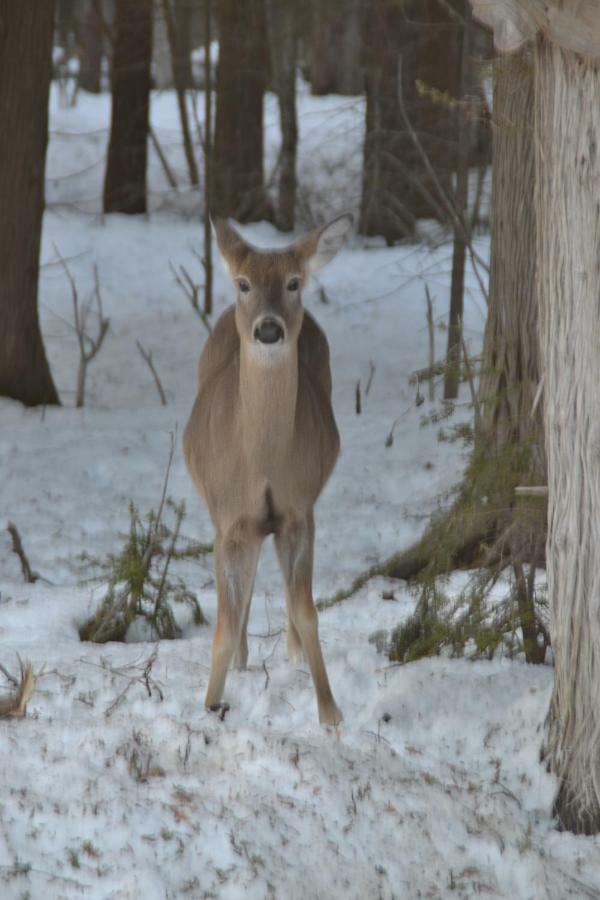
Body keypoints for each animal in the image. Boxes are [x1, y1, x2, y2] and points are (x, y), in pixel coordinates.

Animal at [183, 214, 352, 728]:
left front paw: (329, 712)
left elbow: (307, 608)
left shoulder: (298, 508)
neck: (261, 462)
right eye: (244, 284)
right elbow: (222, 623)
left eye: (294, 283)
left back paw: (291, 654)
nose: (269, 329)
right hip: (219, 511)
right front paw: (209, 705)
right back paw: (241, 658)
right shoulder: (232, 516)